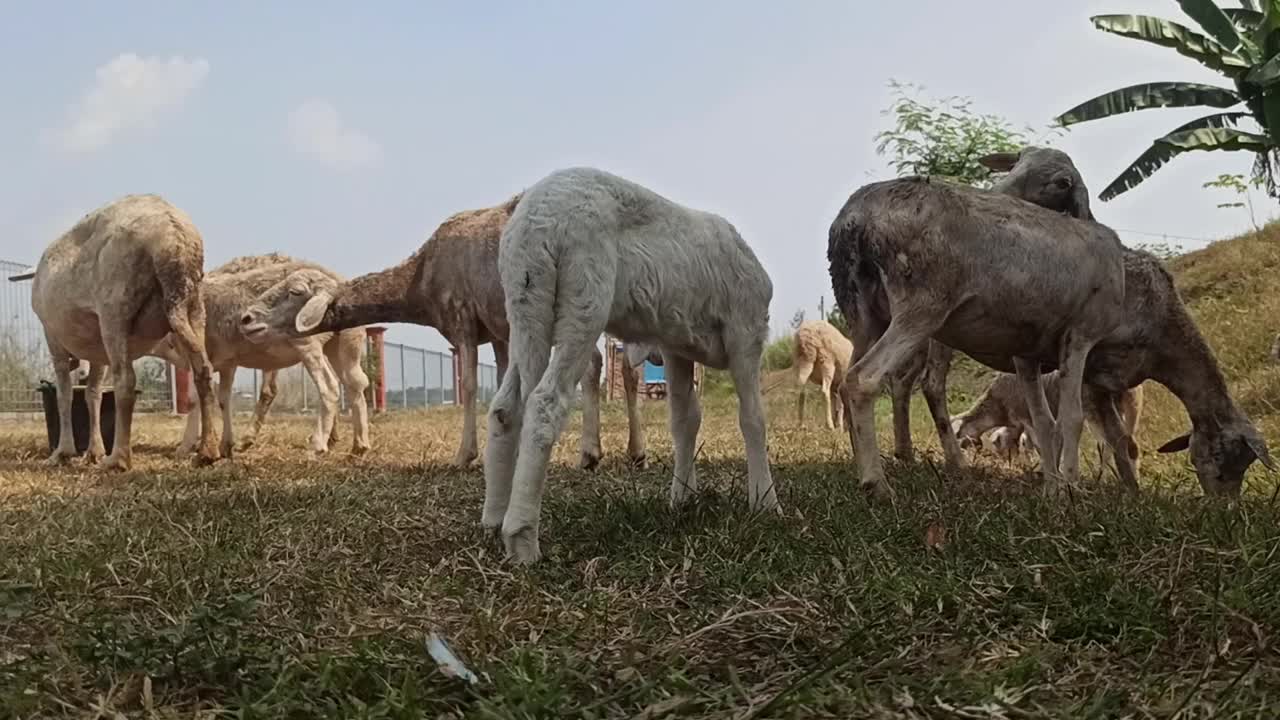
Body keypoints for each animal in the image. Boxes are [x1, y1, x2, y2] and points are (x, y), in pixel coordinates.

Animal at [29, 193, 217, 468]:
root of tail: (171, 241)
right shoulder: (96, 350)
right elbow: (92, 394)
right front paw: (93, 451)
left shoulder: (52, 335)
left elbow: (65, 395)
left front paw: (63, 452)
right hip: (194, 304)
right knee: (203, 370)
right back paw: (207, 451)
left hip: (115, 305)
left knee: (126, 381)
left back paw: (118, 458)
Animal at [240, 196, 655, 468]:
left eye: (294, 292)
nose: (246, 318)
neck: (420, 285)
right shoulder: (498, 329)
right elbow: (504, 383)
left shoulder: (462, 317)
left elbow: (469, 385)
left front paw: (465, 455)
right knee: (605, 364)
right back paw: (616, 451)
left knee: (594, 363)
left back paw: (592, 452)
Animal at [483, 166, 773, 561]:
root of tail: (535, 217)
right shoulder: (745, 329)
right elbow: (753, 419)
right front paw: (765, 502)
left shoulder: (677, 344)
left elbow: (685, 421)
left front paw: (683, 498)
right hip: (585, 293)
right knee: (545, 402)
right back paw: (522, 537)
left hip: (525, 301)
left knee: (505, 406)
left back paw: (494, 518)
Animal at [824, 176, 1126, 497]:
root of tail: (858, 215)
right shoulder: (1081, 333)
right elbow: (1072, 418)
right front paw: (1070, 487)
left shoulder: (1028, 351)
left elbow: (1045, 420)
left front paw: (1053, 487)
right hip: (921, 305)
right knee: (862, 379)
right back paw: (877, 485)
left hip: (862, 311)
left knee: (845, 384)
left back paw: (863, 469)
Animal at [952, 371, 1152, 474]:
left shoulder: (1028, 417)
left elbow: (1039, 444)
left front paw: (1045, 469)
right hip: (1131, 408)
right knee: (1120, 447)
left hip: (1098, 410)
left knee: (1121, 446)